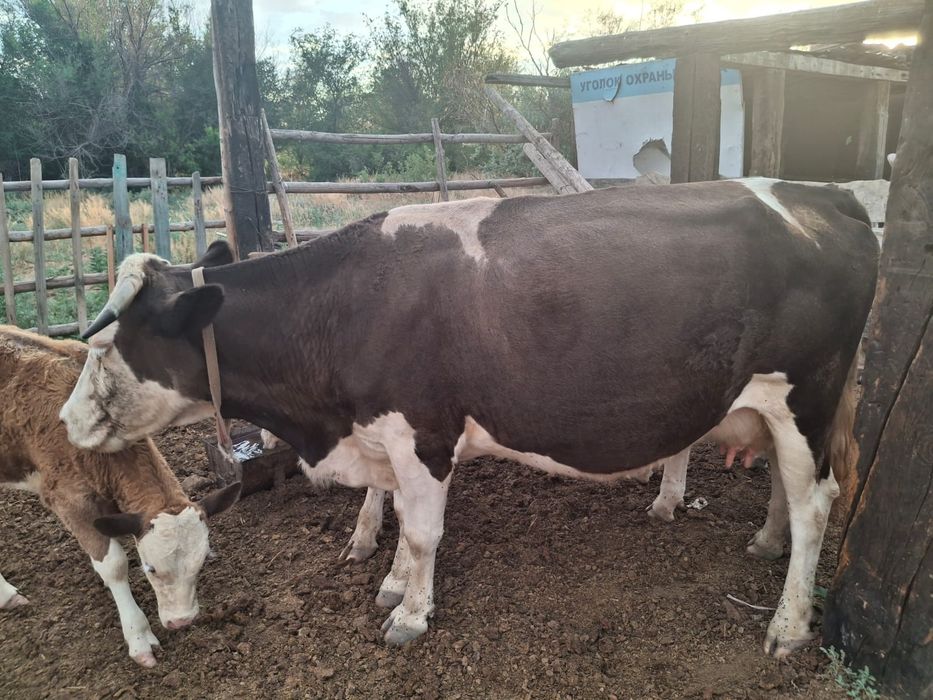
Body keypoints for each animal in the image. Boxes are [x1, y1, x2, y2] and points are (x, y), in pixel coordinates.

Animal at [0, 326, 240, 666]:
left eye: (202, 562)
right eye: (149, 568)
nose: (181, 622)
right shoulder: (68, 499)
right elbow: (113, 565)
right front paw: (139, 638)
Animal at [60, 178, 878, 656]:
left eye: (101, 346)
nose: (66, 423)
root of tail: (825, 194)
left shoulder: (423, 430)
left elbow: (423, 532)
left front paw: (409, 616)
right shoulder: (384, 436)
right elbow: (395, 518)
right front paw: (393, 582)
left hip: (806, 393)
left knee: (817, 502)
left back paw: (786, 625)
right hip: (778, 406)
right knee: (786, 487)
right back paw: (765, 542)